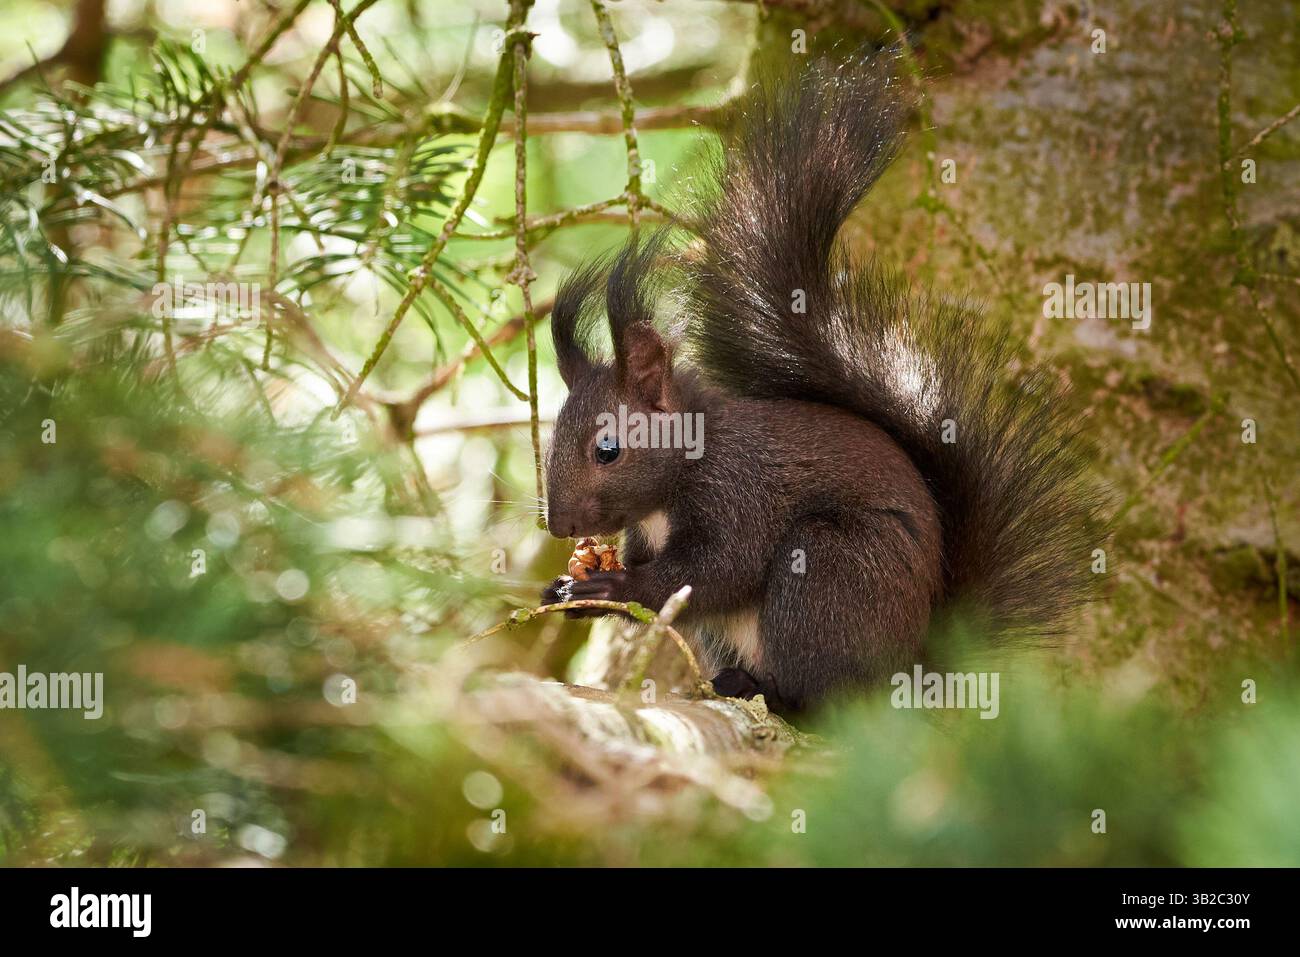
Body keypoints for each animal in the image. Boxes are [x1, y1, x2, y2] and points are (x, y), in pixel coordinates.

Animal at [539, 51, 1100, 714]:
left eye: (608, 449)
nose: (559, 527)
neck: (679, 476)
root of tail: (913, 672)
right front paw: (565, 591)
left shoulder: (741, 495)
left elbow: (717, 570)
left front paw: (611, 582)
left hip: (829, 570)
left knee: (827, 699)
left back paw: (771, 695)